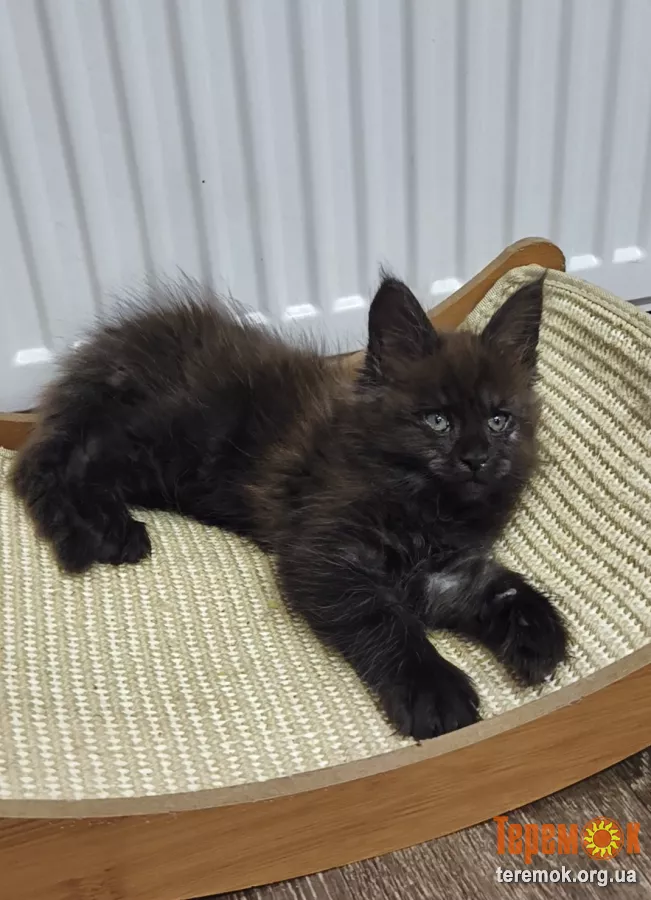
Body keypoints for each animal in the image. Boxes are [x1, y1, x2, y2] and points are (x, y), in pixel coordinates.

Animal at [12, 273, 567, 740]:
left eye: (499, 420)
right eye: (437, 421)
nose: (476, 459)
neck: (430, 507)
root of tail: (114, 344)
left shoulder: (445, 570)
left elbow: (501, 586)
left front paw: (538, 632)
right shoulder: (322, 554)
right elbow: (386, 619)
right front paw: (433, 689)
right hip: (163, 437)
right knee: (46, 463)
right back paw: (101, 532)